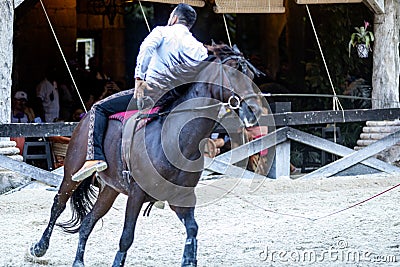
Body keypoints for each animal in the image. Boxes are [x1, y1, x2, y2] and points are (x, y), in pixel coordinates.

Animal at [28, 44, 266, 267]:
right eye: (234, 74)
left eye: (252, 76)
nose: (255, 110)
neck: (172, 138)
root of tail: (85, 118)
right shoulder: (136, 194)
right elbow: (126, 237)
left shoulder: (181, 197)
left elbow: (192, 229)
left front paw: (188, 260)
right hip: (72, 172)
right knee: (58, 204)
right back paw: (39, 247)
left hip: (110, 189)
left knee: (88, 221)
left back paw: (78, 260)